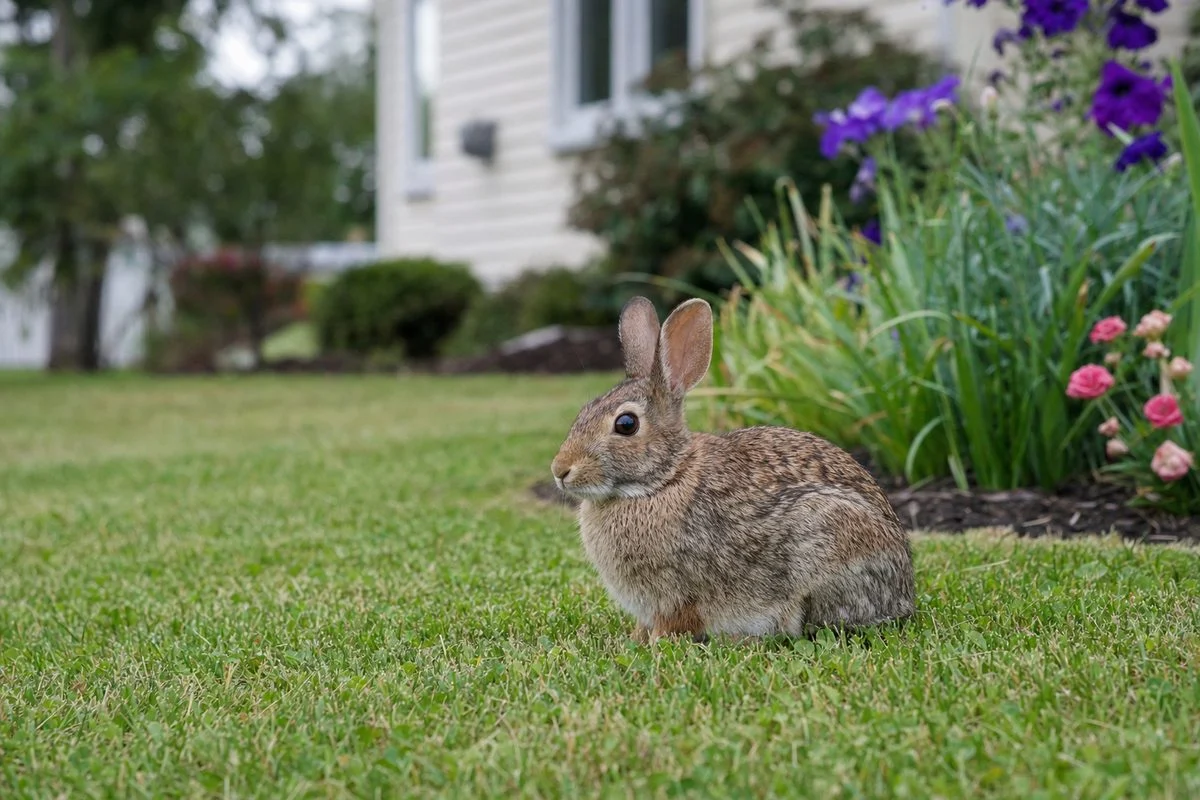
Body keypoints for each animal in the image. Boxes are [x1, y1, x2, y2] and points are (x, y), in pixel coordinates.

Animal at [550, 296, 915, 643]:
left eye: (626, 424)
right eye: (584, 410)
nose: (560, 470)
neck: (664, 479)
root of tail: (904, 594)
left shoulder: (679, 595)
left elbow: (675, 623)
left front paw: (654, 643)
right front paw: (634, 639)